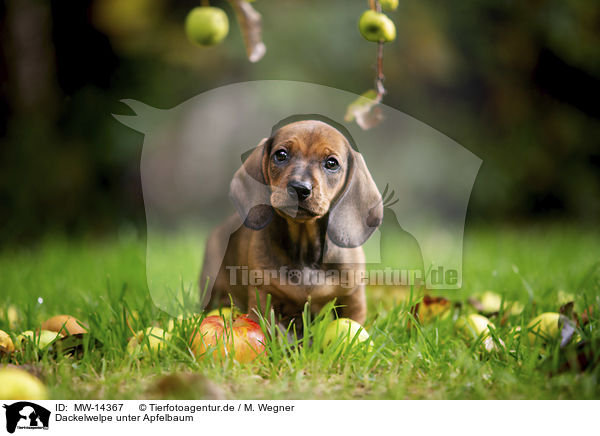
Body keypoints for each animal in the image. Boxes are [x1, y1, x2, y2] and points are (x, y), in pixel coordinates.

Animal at [199, 119, 382, 328]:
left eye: (331, 163)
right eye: (281, 155)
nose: (300, 188)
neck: (305, 252)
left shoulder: (353, 299)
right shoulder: (263, 297)